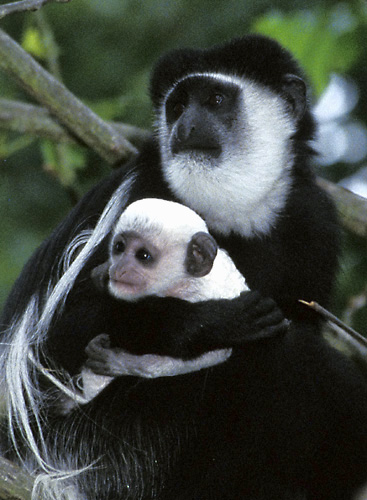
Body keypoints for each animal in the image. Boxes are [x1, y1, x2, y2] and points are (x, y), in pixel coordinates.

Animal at [0, 35, 367, 500]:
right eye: (177, 106)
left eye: (215, 99)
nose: (186, 126)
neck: (234, 214)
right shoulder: (137, 194)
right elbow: (58, 338)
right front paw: (212, 323)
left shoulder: (314, 221)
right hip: (109, 450)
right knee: (275, 356)